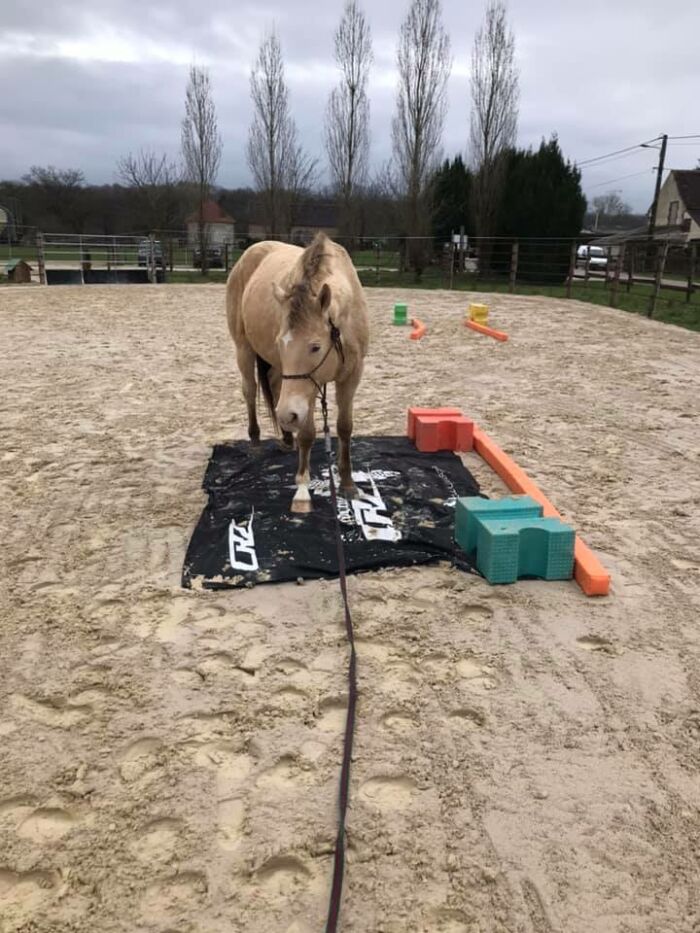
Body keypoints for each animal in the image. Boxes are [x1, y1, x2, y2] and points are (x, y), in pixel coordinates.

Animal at [228, 232, 372, 510]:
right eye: (280, 343)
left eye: (315, 347)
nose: (288, 415)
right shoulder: (306, 389)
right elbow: (307, 434)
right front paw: (302, 489)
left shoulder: (351, 376)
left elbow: (344, 427)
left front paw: (348, 483)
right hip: (243, 348)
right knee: (249, 390)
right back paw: (255, 440)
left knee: (274, 386)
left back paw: (286, 438)